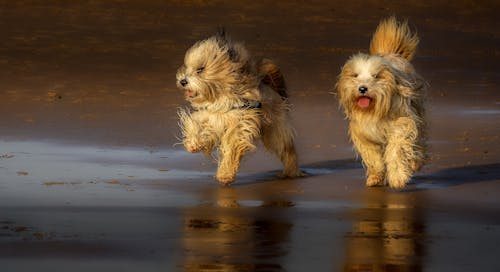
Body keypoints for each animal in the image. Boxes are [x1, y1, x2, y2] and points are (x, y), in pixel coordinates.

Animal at [176, 31, 300, 185]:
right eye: (188, 68)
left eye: (200, 69)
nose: (182, 81)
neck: (220, 97)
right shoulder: (212, 119)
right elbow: (198, 127)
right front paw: (193, 144)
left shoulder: (240, 125)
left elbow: (232, 148)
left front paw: (225, 174)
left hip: (276, 130)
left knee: (287, 150)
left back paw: (291, 172)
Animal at [334, 15, 428, 188]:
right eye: (355, 75)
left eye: (376, 76)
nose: (362, 89)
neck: (374, 111)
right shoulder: (363, 132)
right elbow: (372, 155)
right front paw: (376, 176)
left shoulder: (402, 122)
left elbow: (397, 148)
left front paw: (398, 177)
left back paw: (415, 162)